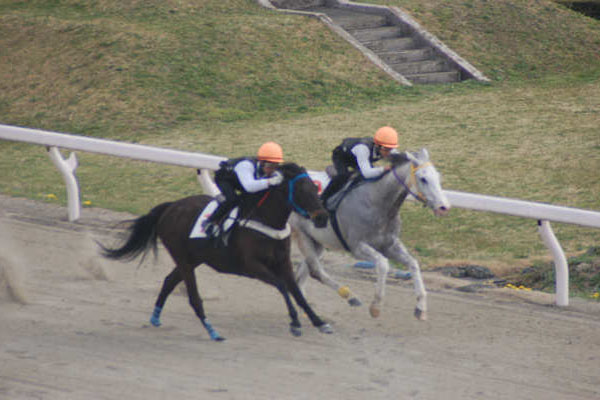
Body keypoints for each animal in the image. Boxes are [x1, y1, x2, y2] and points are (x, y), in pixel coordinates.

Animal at [100, 163, 332, 341]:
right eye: (301, 190)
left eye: (315, 188)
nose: (322, 217)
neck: (265, 220)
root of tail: (170, 207)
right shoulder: (252, 266)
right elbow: (282, 287)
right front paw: (295, 322)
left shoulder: (283, 262)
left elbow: (297, 292)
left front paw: (319, 322)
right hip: (183, 258)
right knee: (194, 298)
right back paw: (212, 331)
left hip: (193, 258)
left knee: (168, 281)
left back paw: (156, 317)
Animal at [291, 149, 450, 321]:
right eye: (423, 179)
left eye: (438, 176)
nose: (443, 207)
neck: (377, 203)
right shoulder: (357, 247)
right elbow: (383, 264)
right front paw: (376, 307)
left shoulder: (389, 245)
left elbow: (413, 263)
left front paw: (421, 307)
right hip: (302, 234)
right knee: (316, 271)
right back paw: (351, 297)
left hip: (317, 241)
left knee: (305, 272)